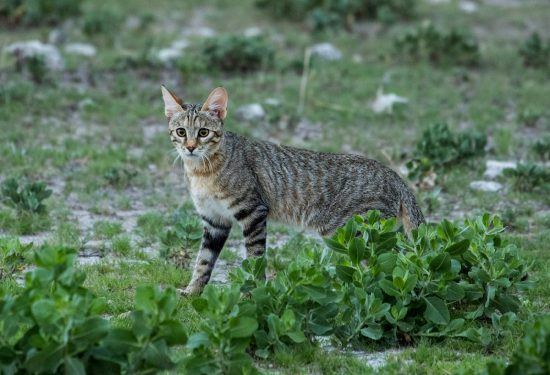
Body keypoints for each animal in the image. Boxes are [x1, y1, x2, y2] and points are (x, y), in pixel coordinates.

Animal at [161, 86, 426, 296]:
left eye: (203, 132)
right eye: (181, 132)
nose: (190, 147)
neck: (201, 171)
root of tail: (394, 175)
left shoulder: (253, 211)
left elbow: (255, 258)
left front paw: (253, 293)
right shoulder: (215, 221)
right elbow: (203, 262)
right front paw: (192, 292)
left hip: (356, 233)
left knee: (401, 259)